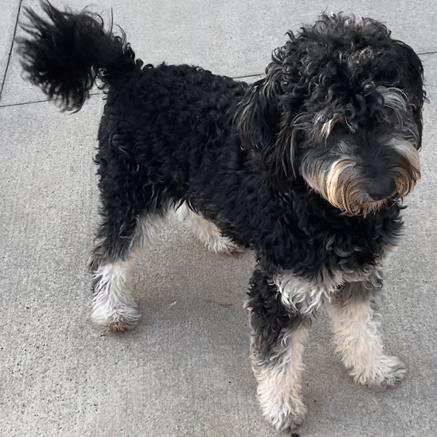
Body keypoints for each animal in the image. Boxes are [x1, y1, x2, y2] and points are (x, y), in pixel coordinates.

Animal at [18, 1, 425, 433]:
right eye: (333, 128)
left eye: (386, 113)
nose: (381, 187)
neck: (327, 208)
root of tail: (129, 70)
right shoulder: (279, 288)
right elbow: (278, 359)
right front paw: (282, 407)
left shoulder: (359, 276)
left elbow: (362, 328)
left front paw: (373, 368)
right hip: (129, 191)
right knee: (109, 252)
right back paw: (110, 310)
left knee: (188, 206)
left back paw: (217, 235)